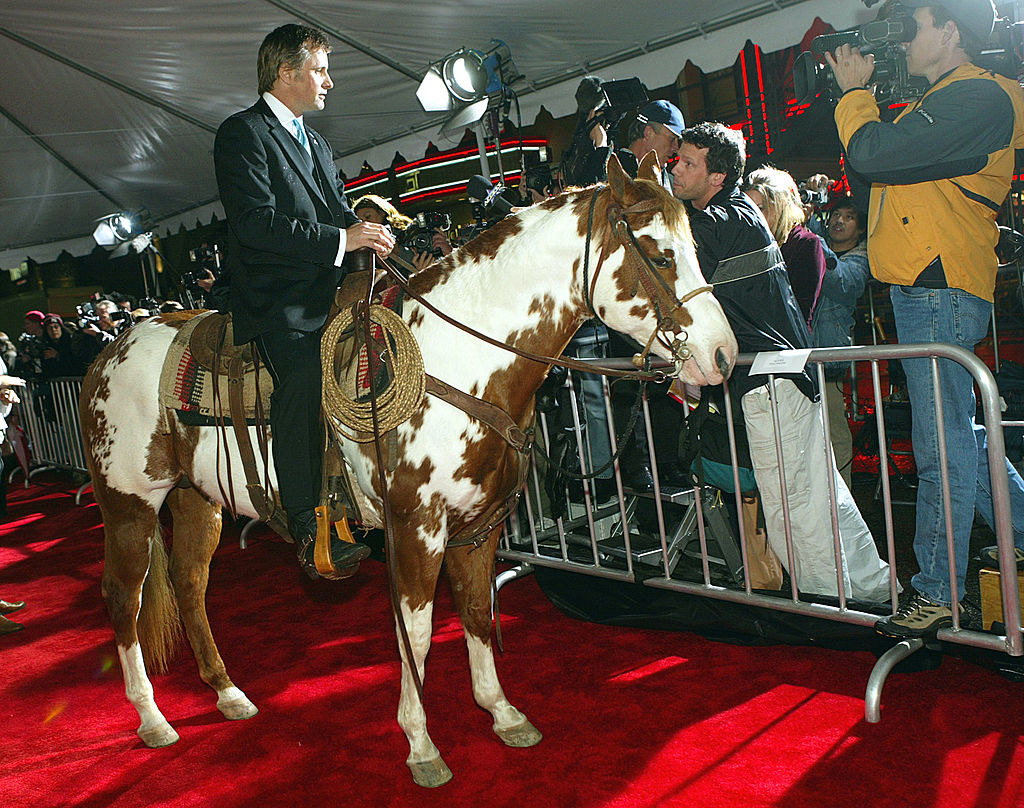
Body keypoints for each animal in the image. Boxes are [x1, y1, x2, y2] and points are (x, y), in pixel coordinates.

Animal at [79, 152, 737, 786]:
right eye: (660, 254)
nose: (723, 356)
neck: (460, 361)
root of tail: (109, 351)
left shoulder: (479, 526)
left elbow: (475, 611)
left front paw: (501, 712)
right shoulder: (417, 527)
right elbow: (415, 634)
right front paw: (421, 744)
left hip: (195, 498)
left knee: (189, 583)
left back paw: (227, 692)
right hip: (129, 502)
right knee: (124, 596)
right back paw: (152, 718)